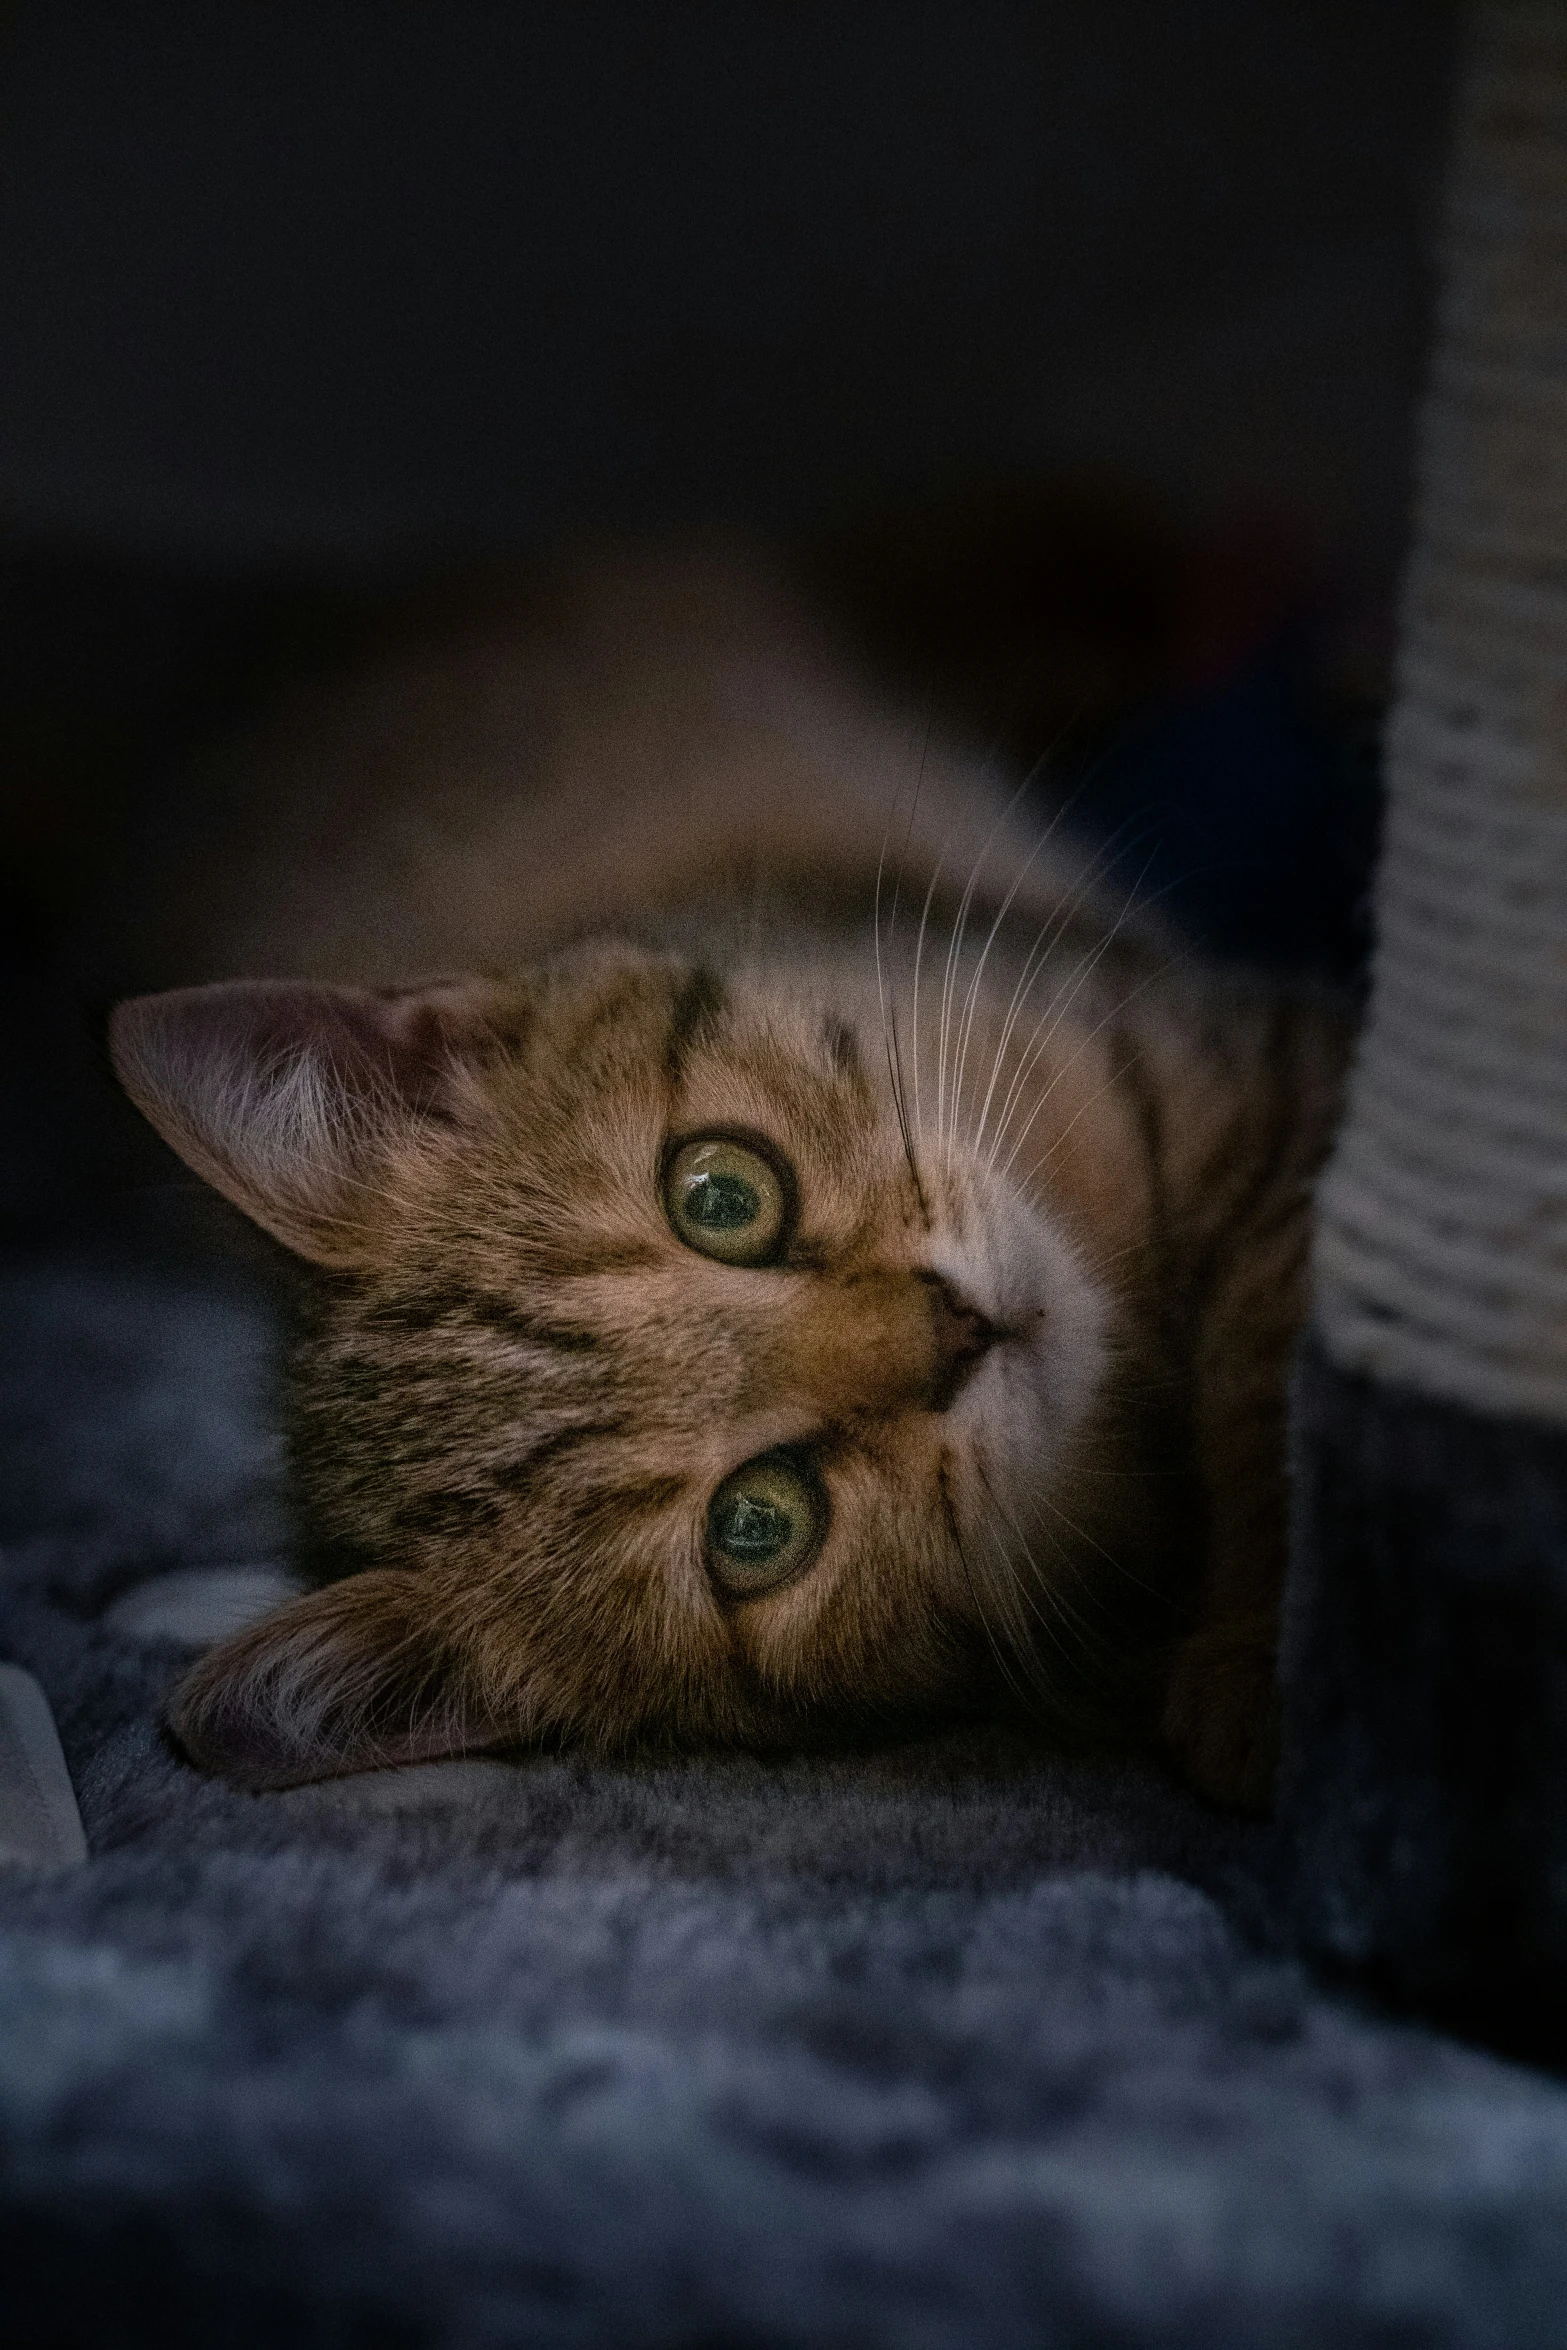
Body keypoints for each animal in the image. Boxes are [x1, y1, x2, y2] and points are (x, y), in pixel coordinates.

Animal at [107, 545, 1353, 1795]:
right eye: (756, 1526)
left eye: (719, 1196)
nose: (958, 1329)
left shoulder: (1226, 1057)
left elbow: (1264, 1350)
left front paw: (1259, 1647)